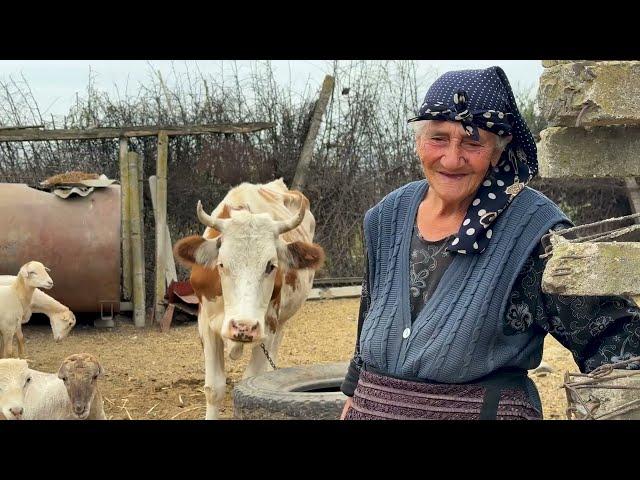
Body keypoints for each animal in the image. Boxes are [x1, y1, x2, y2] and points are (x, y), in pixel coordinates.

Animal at [174, 178, 324, 418]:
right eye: (221, 264)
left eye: (271, 266)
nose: (243, 326)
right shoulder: (205, 323)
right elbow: (214, 389)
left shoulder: (268, 325)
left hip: (281, 322)